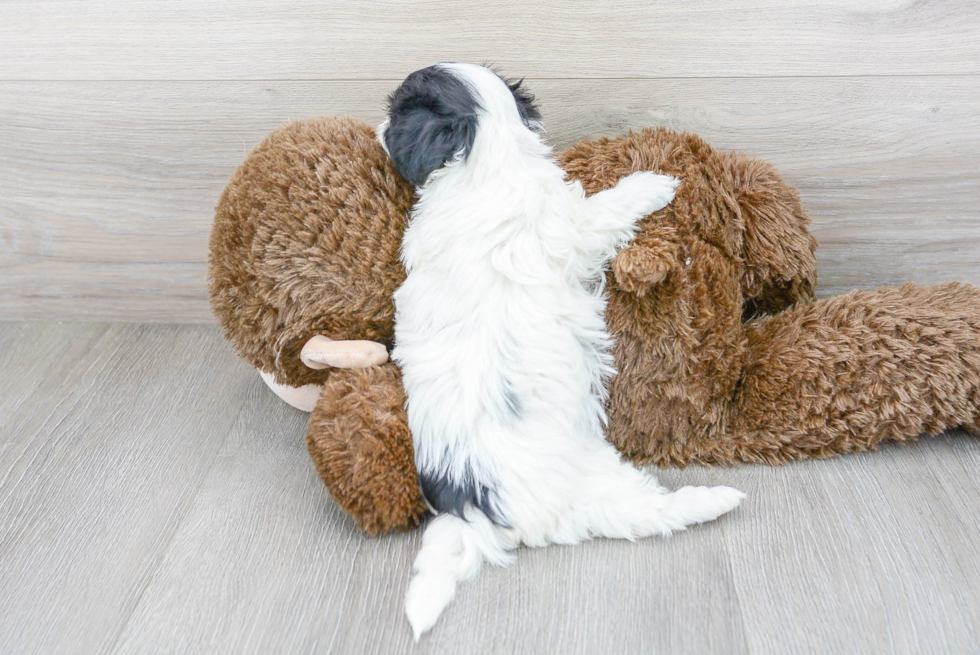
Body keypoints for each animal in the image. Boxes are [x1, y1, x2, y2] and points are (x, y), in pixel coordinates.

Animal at [376, 65, 744, 640]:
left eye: (393, 115)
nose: (376, 129)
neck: (489, 158)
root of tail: (476, 510)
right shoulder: (574, 228)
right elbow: (607, 208)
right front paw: (651, 184)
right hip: (599, 483)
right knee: (647, 514)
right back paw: (713, 501)